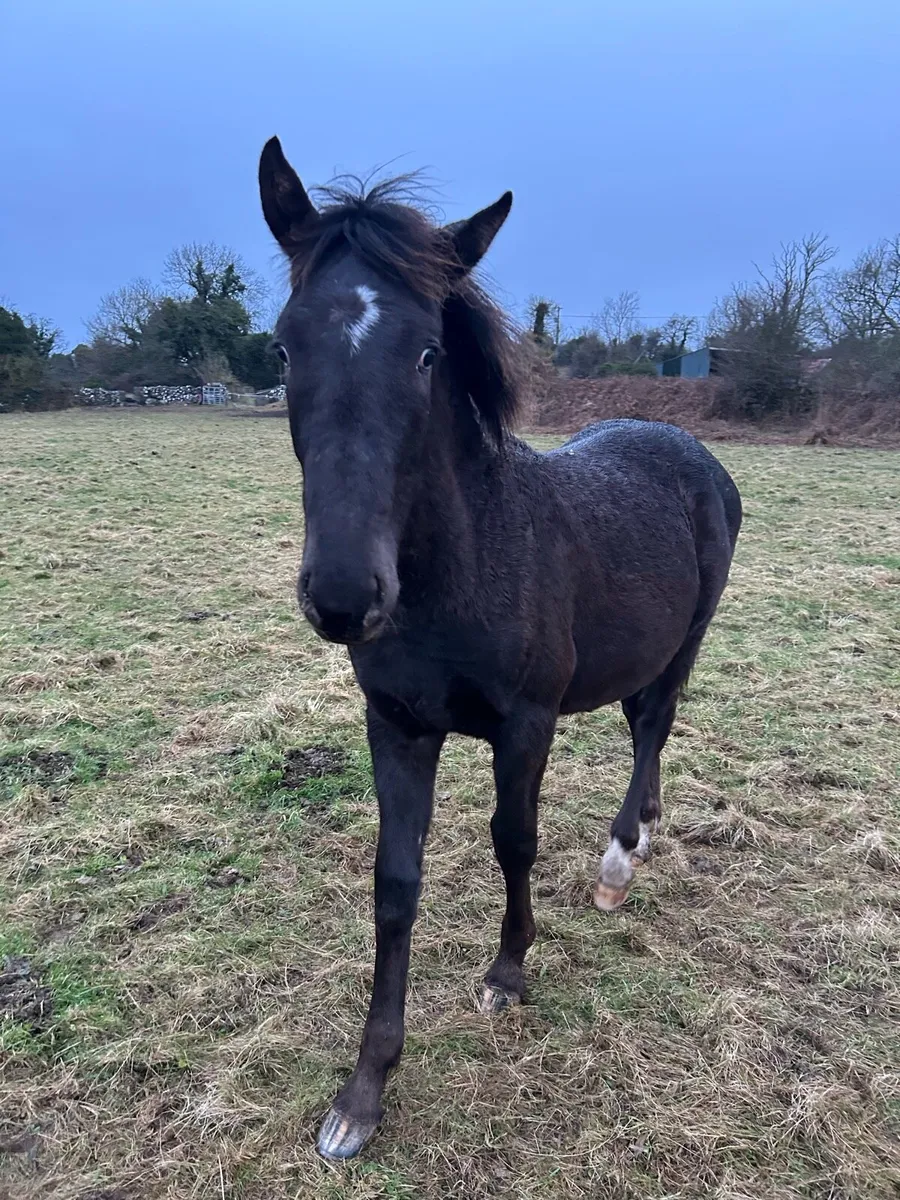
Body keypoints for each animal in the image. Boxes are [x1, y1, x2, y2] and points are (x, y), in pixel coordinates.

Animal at [258, 136, 742, 1160]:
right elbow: (395, 882)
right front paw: (363, 1095)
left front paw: (508, 974)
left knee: (654, 726)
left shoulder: (526, 725)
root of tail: (692, 450)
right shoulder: (397, 726)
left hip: (685, 645)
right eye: (283, 345)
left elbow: (513, 841)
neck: (463, 566)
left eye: (427, 351)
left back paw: (619, 861)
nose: (344, 596)